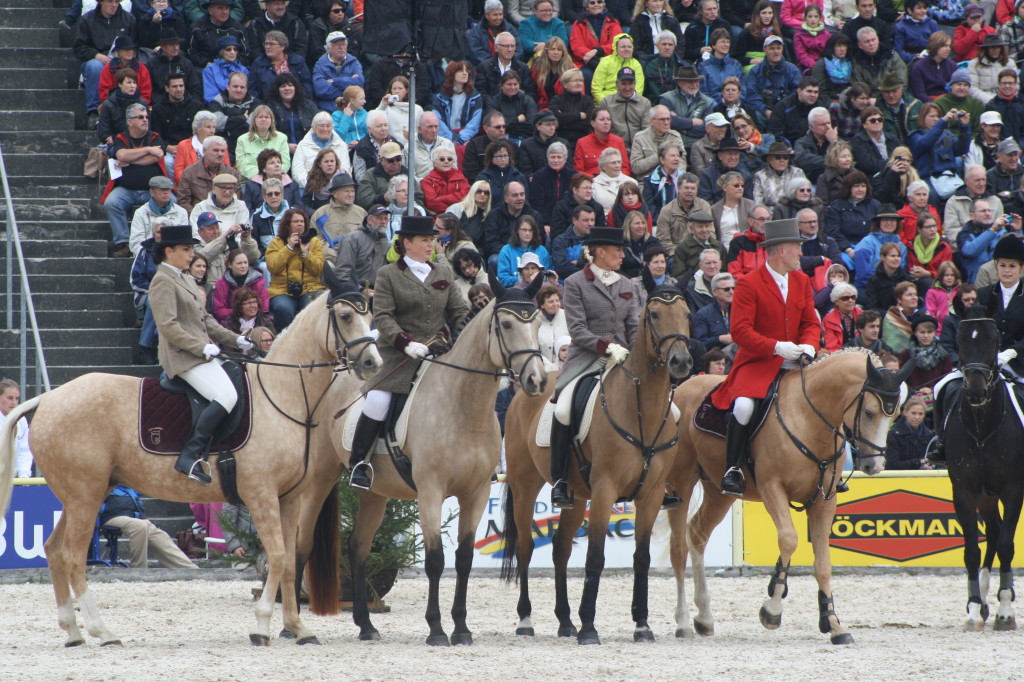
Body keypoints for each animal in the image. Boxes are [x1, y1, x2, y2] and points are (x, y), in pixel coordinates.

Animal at [0, 274, 380, 643]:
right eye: (346, 316)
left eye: (370, 317)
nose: (372, 363)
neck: (283, 394)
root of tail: (48, 399)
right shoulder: (261, 495)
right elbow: (276, 555)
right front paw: (261, 627)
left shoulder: (288, 498)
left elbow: (287, 561)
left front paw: (298, 628)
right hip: (85, 497)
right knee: (73, 557)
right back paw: (101, 631)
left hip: (82, 495)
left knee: (53, 550)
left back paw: (73, 631)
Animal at [313, 278, 552, 647]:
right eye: (507, 324)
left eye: (537, 324)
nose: (537, 381)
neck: (464, 406)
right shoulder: (430, 492)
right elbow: (436, 560)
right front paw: (437, 629)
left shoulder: (476, 494)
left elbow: (464, 559)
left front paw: (462, 629)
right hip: (315, 478)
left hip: (374, 494)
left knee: (358, 547)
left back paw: (366, 625)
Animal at [667, 350, 917, 643]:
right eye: (868, 412)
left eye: (895, 413)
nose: (874, 466)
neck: (810, 419)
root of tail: (683, 386)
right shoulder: (772, 487)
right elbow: (789, 539)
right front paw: (773, 608)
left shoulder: (825, 500)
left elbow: (823, 563)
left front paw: (833, 622)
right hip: (682, 482)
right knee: (678, 549)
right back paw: (683, 621)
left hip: (719, 492)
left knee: (697, 534)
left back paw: (704, 617)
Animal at [942, 315, 1024, 630]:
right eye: (961, 339)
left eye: (993, 339)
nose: (976, 392)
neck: (981, 426)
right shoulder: (965, 491)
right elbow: (971, 551)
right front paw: (975, 607)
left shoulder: (1013, 489)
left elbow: (1007, 545)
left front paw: (1006, 611)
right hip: (986, 496)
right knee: (993, 530)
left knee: (999, 535)